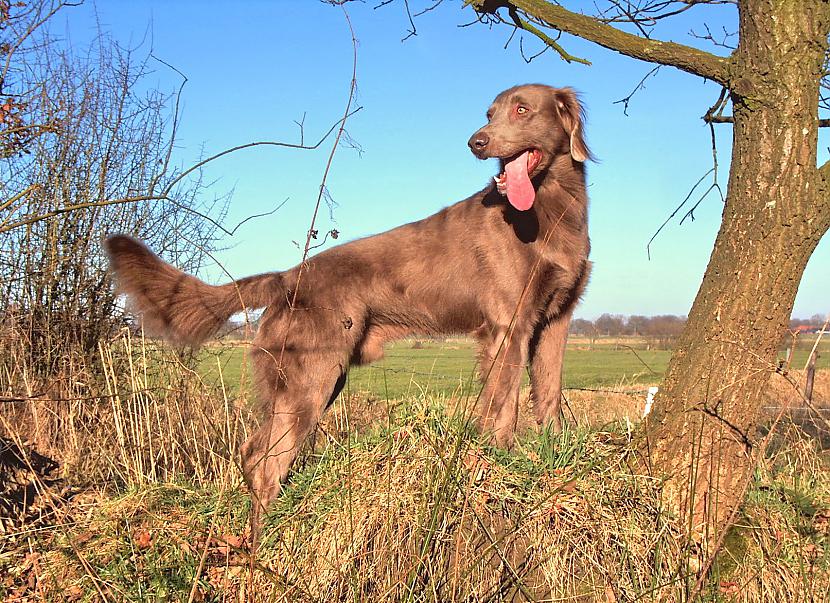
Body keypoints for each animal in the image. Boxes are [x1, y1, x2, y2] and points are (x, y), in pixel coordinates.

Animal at [105, 82, 592, 540]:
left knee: (256, 454)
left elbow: (549, 390)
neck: (548, 209)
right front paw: (506, 462)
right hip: (311, 376)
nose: (476, 141)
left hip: (315, 378)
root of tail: (287, 277)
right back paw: (264, 545)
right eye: (489, 114)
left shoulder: (556, 320)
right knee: (263, 458)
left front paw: (553, 452)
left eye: (522, 109)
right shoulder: (508, 325)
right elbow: (504, 404)